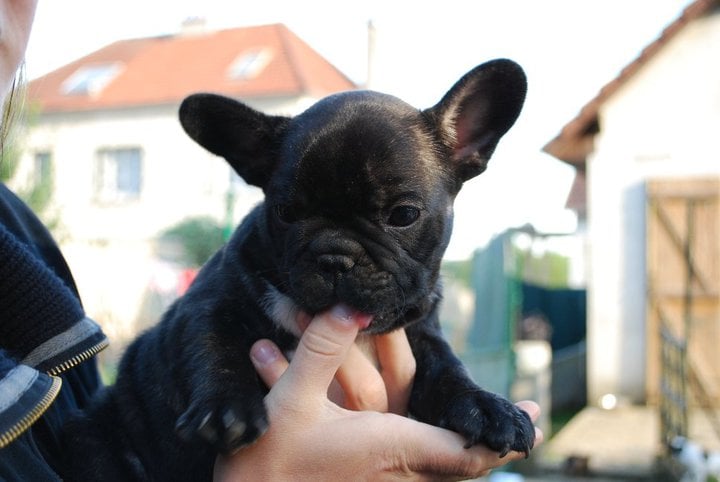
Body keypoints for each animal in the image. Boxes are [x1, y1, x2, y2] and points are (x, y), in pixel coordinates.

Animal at [63, 59, 536, 482]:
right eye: (286, 212)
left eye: (403, 214)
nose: (334, 256)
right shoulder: (207, 304)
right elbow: (213, 347)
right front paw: (225, 410)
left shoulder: (421, 332)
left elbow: (446, 367)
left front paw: (485, 404)